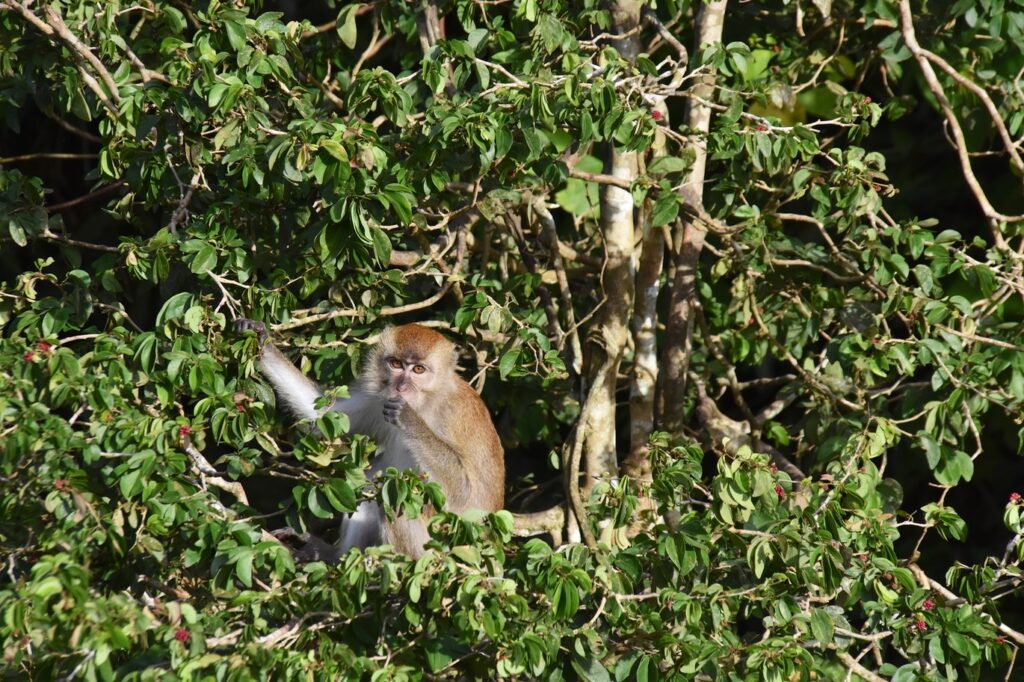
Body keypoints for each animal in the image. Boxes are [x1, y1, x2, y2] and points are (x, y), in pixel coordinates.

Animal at [233, 319, 503, 557]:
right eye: (396, 364)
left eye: (418, 370)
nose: (400, 387)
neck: (426, 401)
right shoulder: (378, 400)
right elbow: (324, 416)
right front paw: (261, 339)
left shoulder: (451, 413)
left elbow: (463, 492)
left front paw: (408, 419)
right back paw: (332, 555)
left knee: (397, 498)